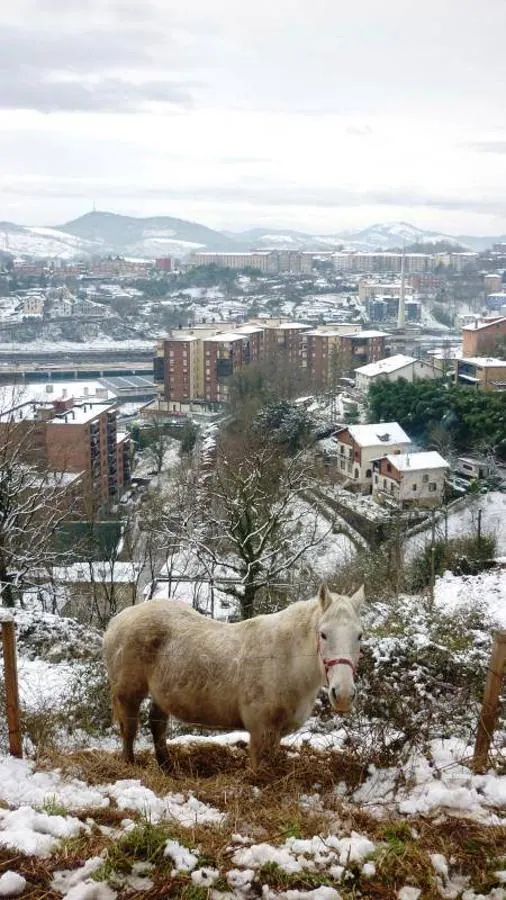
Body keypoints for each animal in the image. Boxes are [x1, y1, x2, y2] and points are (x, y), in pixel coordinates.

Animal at [103, 588, 364, 768]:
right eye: (324, 634)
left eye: (359, 635)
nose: (343, 695)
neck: (286, 658)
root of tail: (117, 620)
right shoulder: (260, 729)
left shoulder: (275, 732)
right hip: (128, 692)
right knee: (129, 728)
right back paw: (129, 763)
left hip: (161, 695)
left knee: (158, 727)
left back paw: (168, 768)